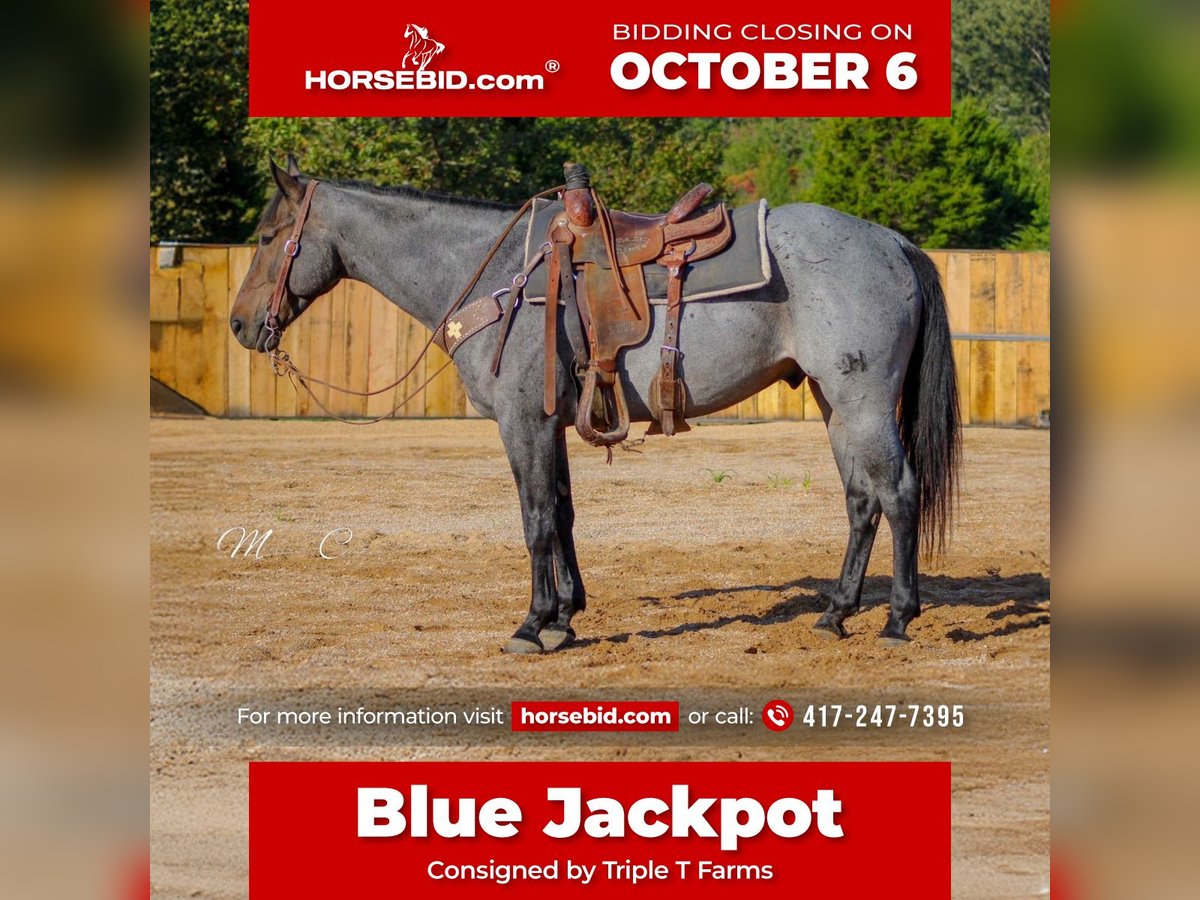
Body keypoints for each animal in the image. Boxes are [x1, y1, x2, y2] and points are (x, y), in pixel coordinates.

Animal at [230, 156, 960, 654]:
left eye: (267, 237)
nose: (239, 325)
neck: (496, 276)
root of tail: (892, 241)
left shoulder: (522, 420)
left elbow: (534, 519)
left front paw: (532, 624)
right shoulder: (551, 421)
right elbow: (563, 512)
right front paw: (565, 614)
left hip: (863, 402)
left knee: (898, 493)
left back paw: (898, 617)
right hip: (836, 404)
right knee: (861, 501)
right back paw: (835, 613)